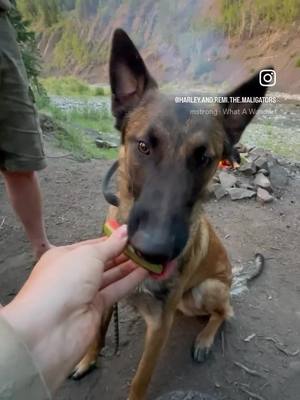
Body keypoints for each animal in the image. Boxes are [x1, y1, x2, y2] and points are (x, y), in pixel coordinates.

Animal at [73, 29, 270, 398]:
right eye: (143, 147)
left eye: (204, 159)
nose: (154, 250)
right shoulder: (107, 292)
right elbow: (97, 331)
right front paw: (88, 358)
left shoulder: (158, 327)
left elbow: (140, 380)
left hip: (204, 290)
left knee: (226, 311)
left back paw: (206, 338)